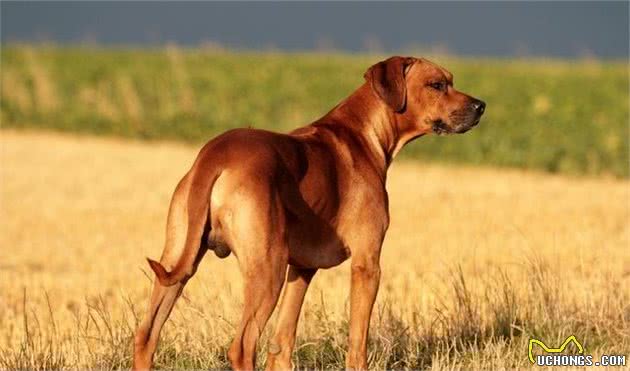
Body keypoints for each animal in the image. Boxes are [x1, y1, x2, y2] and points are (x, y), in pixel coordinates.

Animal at [132, 56, 488, 370]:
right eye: (437, 84)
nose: (481, 106)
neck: (363, 133)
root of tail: (215, 155)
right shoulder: (367, 265)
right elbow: (357, 344)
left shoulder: (302, 269)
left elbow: (281, 344)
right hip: (267, 270)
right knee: (242, 346)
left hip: (179, 261)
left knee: (147, 334)